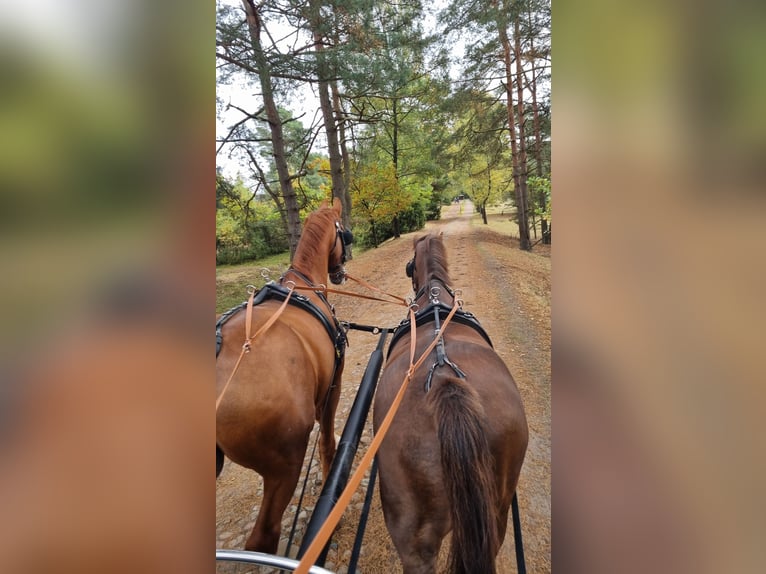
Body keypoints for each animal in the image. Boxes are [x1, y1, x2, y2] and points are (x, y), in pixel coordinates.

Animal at [215, 198, 352, 553]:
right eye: (343, 233)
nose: (340, 271)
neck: (303, 284)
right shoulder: (333, 387)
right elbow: (328, 443)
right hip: (284, 469)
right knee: (264, 536)